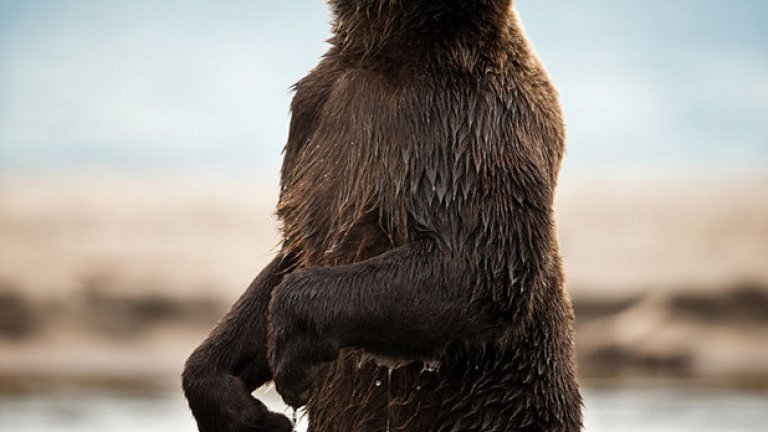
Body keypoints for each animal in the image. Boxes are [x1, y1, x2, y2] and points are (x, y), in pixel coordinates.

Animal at [183, 0, 584, 432]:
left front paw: (292, 358)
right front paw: (251, 413)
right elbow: (289, 255)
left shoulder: (471, 130)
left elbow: (478, 266)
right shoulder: (313, 116)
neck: (391, 53)